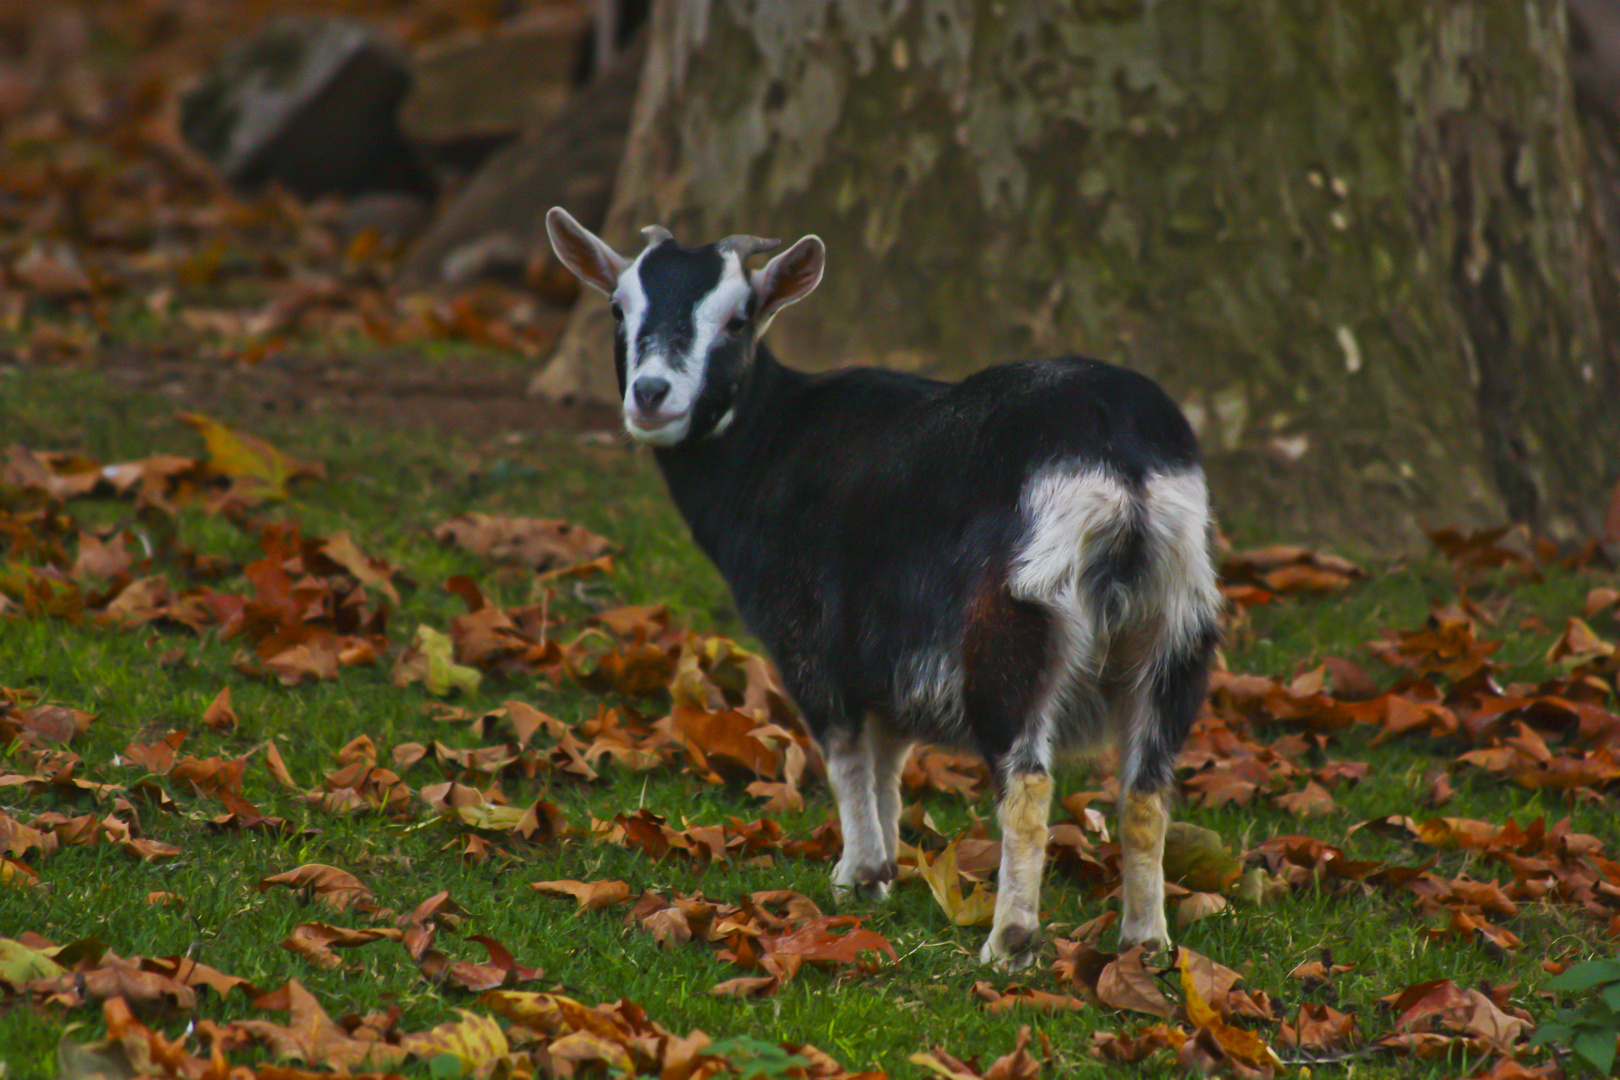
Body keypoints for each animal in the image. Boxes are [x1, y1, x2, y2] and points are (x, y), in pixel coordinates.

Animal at [544, 207, 1218, 965]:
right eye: (617, 307)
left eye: (738, 320)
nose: (652, 394)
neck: (769, 440)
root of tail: (1121, 465)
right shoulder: (891, 658)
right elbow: (890, 757)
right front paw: (886, 864)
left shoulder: (807, 632)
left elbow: (842, 753)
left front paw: (859, 872)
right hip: (1176, 621)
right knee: (1146, 791)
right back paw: (1146, 941)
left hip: (1018, 614)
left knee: (1027, 784)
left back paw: (1009, 939)